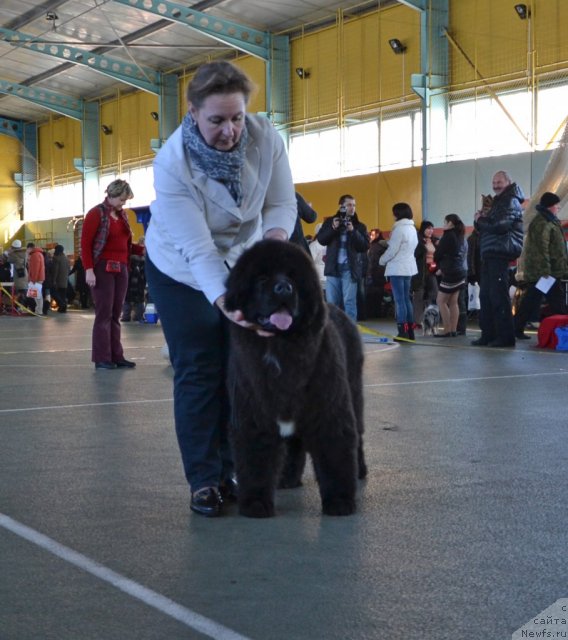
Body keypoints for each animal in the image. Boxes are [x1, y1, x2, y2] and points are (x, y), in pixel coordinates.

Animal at [224, 238, 366, 516]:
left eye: (292, 277)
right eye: (262, 278)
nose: (283, 288)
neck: (281, 348)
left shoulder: (329, 410)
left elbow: (335, 451)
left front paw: (340, 501)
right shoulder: (254, 416)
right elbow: (255, 459)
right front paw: (256, 503)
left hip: (354, 391)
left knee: (358, 435)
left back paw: (360, 471)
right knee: (294, 445)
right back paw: (287, 479)